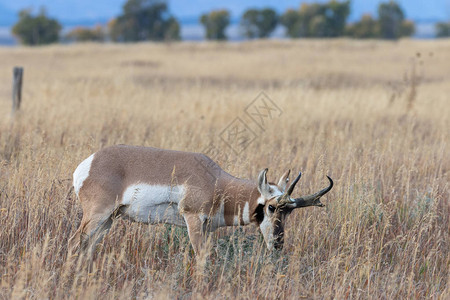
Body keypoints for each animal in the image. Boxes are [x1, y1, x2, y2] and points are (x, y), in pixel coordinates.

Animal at [67, 145, 334, 255]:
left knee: (88, 246)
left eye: (289, 212)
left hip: (109, 220)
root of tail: (89, 163)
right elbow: (201, 257)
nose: (278, 244)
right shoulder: (193, 221)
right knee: (74, 242)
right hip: (98, 215)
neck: (217, 182)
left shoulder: (206, 228)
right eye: (271, 207)